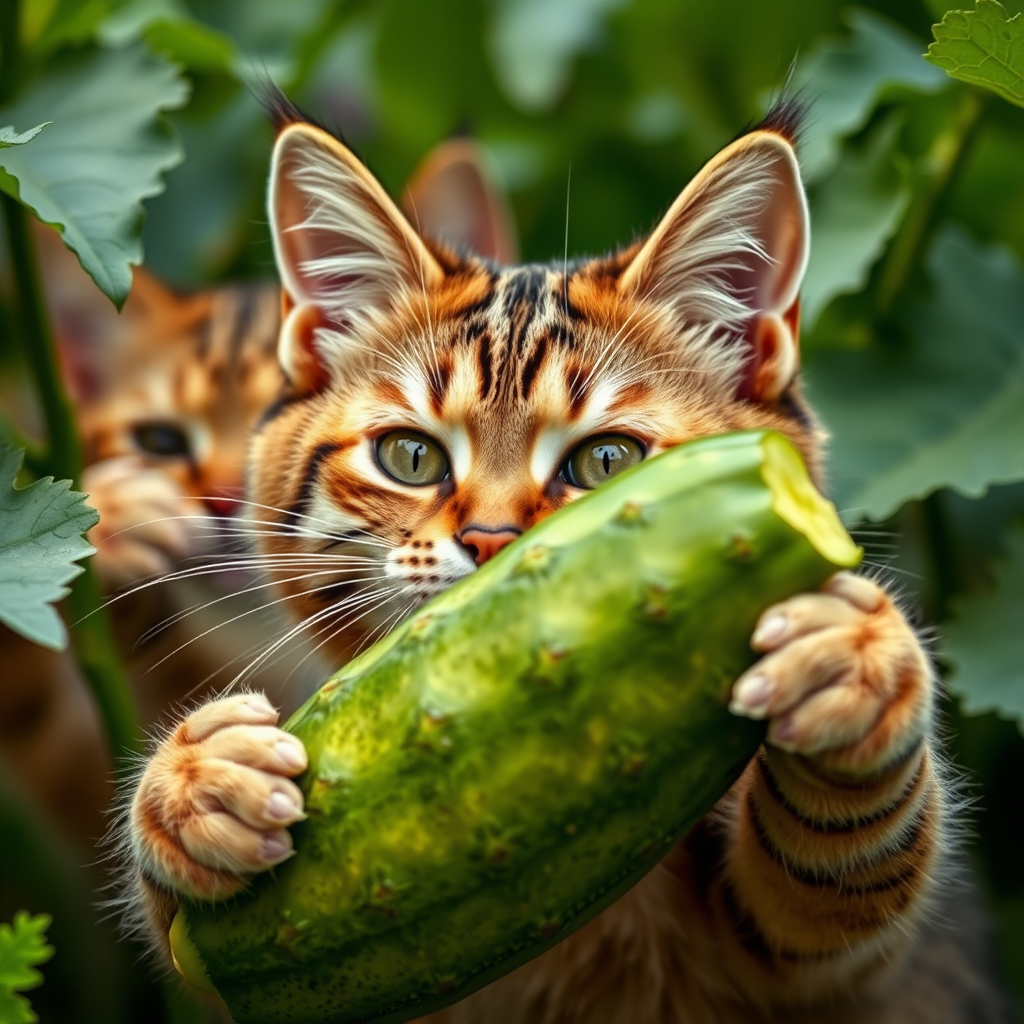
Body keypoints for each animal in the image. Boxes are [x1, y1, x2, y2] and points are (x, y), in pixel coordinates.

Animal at [121, 101, 1015, 1024]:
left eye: (606, 462)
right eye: (411, 457)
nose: (490, 540)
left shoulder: (825, 970)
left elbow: (841, 879)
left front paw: (856, 663)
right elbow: (189, 949)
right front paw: (195, 782)